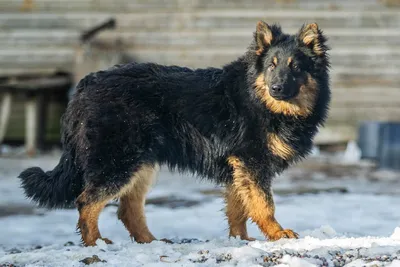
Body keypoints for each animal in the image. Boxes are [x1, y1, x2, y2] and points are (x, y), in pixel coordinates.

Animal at [18, 21, 332, 247]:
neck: (264, 103)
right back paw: (96, 244)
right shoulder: (251, 163)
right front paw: (277, 234)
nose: (276, 88)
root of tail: (84, 86)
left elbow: (239, 208)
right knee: (87, 202)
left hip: (140, 164)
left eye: (295, 67)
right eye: (271, 66)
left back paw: (150, 242)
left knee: (127, 209)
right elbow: (263, 204)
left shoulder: (239, 168)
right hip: (118, 162)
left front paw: (241, 240)